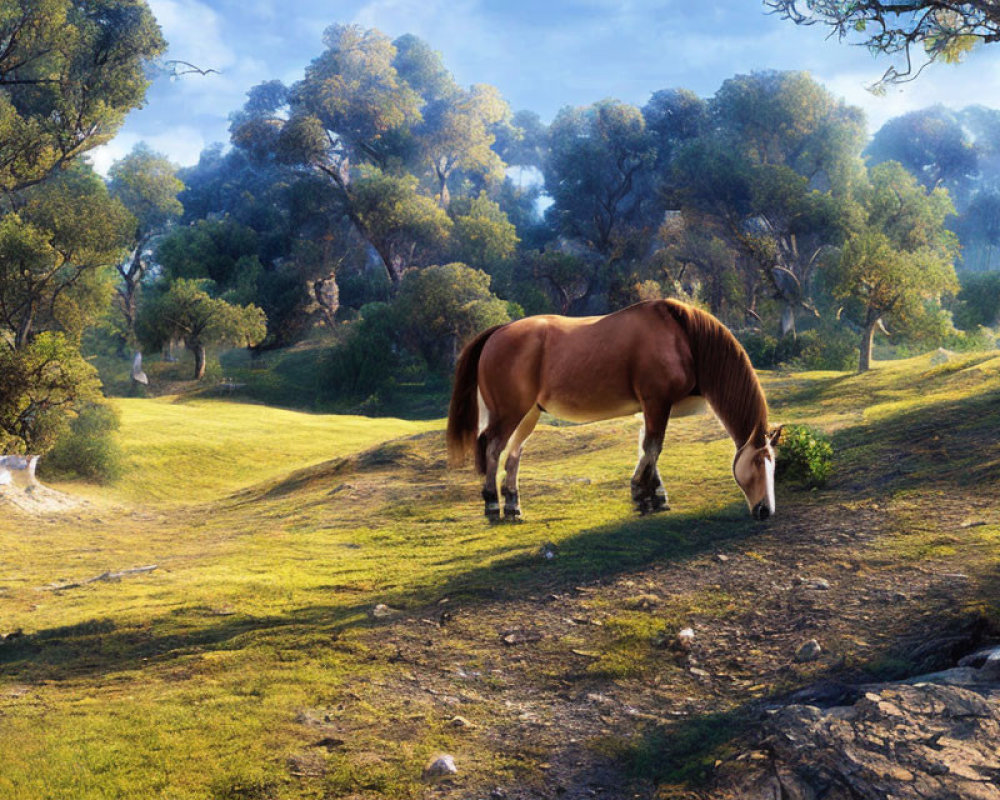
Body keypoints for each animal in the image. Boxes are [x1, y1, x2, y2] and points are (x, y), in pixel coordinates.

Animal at [446, 300, 780, 524]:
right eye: (759, 462)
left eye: (773, 463)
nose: (766, 511)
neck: (684, 338)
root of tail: (498, 332)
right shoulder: (656, 403)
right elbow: (653, 448)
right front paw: (643, 496)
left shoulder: (651, 408)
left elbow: (648, 450)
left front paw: (655, 495)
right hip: (509, 414)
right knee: (493, 448)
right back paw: (492, 505)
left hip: (528, 415)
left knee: (514, 453)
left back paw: (513, 505)